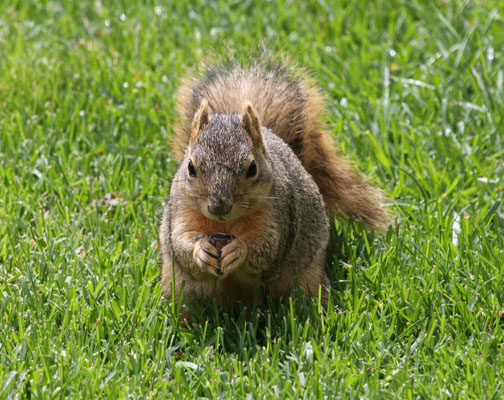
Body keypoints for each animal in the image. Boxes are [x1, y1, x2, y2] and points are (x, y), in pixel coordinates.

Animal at [159, 59, 388, 318]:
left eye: (252, 168)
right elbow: (181, 242)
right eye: (190, 167)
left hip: (307, 281)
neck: (226, 224)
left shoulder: (279, 213)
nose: (218, 207)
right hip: (182, 290)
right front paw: (200, 250)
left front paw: (239, 250)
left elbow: (267, 250)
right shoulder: (182, 209)